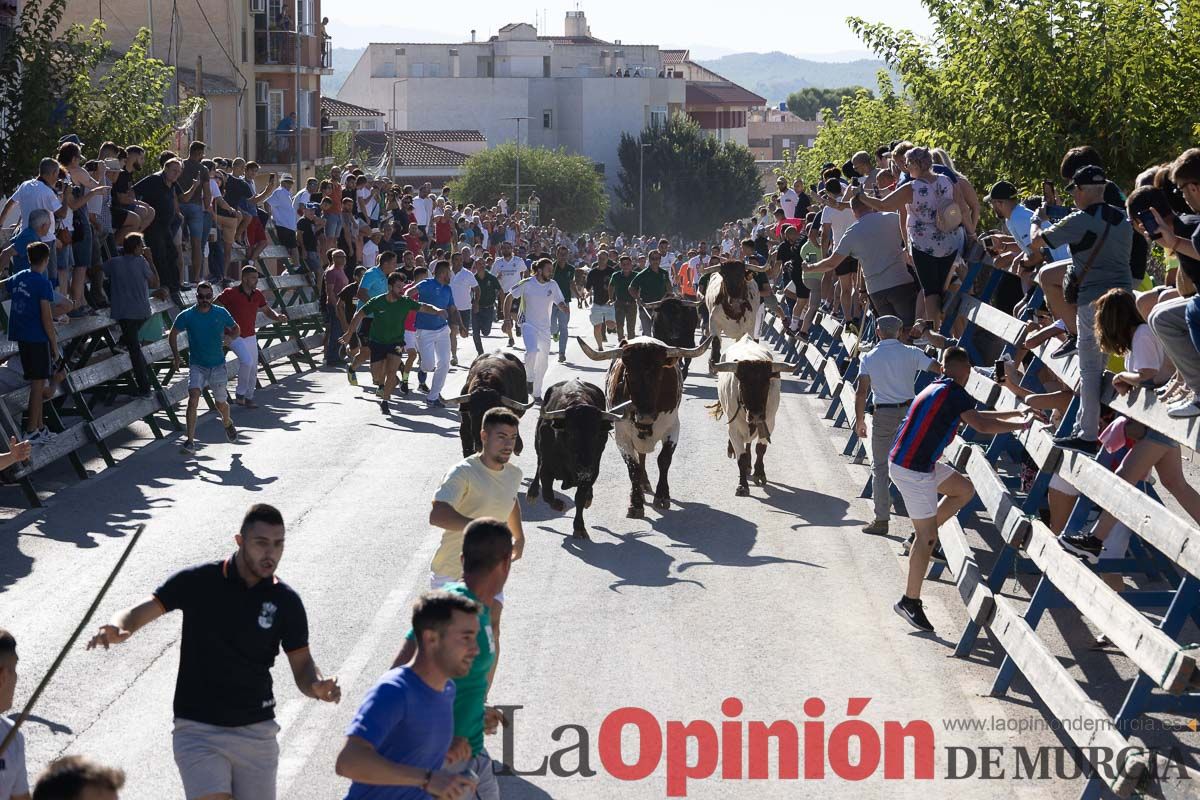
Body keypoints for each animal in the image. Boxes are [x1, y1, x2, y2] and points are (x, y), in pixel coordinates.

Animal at [530, 379, 633, 542]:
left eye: (597, 434)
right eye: (572, 433)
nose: (585, 468)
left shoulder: (592, 472)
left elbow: (579, 498)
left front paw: (579, 527)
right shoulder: (546, 469)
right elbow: (547, 493)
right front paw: (559, 505)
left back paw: (589, 498)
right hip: (537, 444)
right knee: (538, 463)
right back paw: (532, 493)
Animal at [576, 333, 705, 515]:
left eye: (660, 374)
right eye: (629, 373)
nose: (645, 416)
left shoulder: (673, 427)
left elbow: (664, 460)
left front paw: (662, 496)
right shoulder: (621, 435)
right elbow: (633, 467)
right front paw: (636, 503)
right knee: (640, 459)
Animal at [710, 335, 787, 496]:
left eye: (766, 384)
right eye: (743, 385)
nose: (756, 415)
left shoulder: (769, 423)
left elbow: (760, 449)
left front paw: (759, 473)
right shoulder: (734, 429)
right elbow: (742, 457)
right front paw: (743, 485)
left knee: (750, 443)